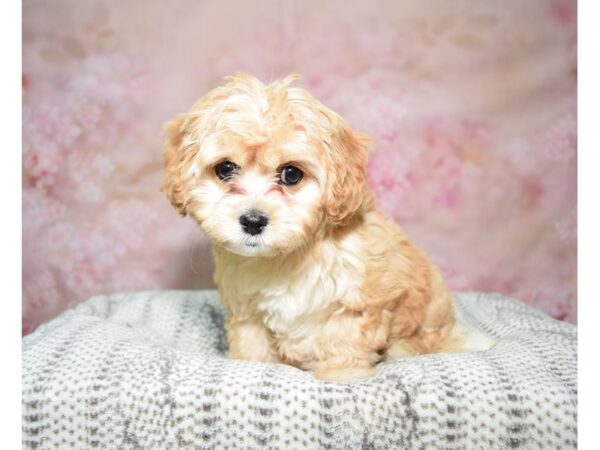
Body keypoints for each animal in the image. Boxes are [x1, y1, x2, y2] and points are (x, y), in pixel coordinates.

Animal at [161, 73, 492, 380]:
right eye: (225, 168)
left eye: (291, 174)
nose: (253, 221)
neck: (286, 258)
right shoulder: (246, 307)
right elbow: (252, 340)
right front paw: (250, 366)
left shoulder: (358, 299)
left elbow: (343, 339)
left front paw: (342, 374)